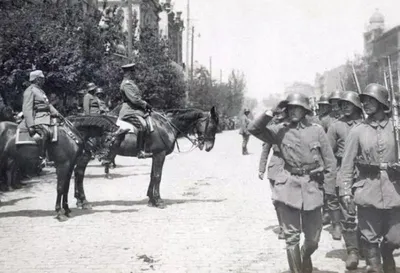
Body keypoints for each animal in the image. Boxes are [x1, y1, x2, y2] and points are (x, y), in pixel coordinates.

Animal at [71, 105, 219, 207]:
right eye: (212, 126)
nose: (209, 147)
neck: (166, 125)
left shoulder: (155, 156)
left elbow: (152, 175)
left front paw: (151, 199)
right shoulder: (160, 154)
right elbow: (157, 176)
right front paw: (158, 200)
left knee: (78, 173)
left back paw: (80, 200)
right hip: (86, 155)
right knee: (79, 174)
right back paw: (83, 200)